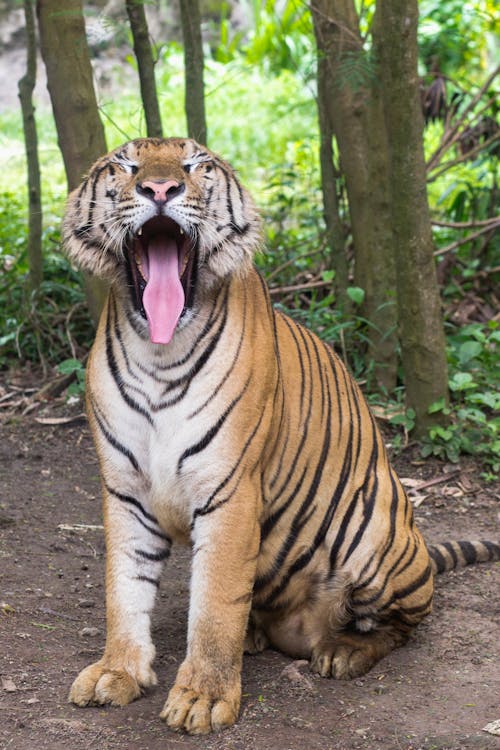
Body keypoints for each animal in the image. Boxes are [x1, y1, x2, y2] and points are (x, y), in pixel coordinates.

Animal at [62, 138, 500, 736]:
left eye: (194, 165)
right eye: (126, 165)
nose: (160, 189)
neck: (158, 351)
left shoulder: (229, 490)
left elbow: (216, 603)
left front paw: (202, 699)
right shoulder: (125, 490)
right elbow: (124, 588)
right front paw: (117, 672)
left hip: (376, 534)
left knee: (403, 624)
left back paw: (341, 651)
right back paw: (257, 635)